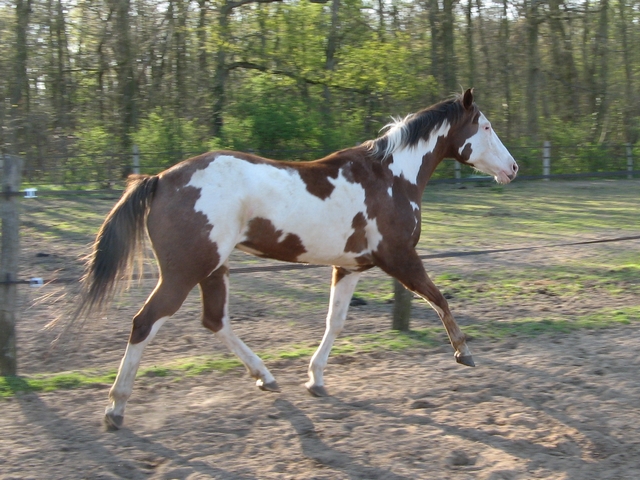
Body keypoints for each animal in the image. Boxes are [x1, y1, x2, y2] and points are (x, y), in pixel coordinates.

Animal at [79, 89, 518, 429]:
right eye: (486, 126)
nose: (513, 168)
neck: (391, 178)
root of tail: (159, 180)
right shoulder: (400, 258)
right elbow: (439, 298)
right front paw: (464, 353)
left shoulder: (350, 266)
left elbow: (335, 322)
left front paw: (315, 380)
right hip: (184, 271)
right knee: (144, 323)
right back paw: (115, 408)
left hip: (213, 268)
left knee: (215, 321)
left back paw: (265, 377)